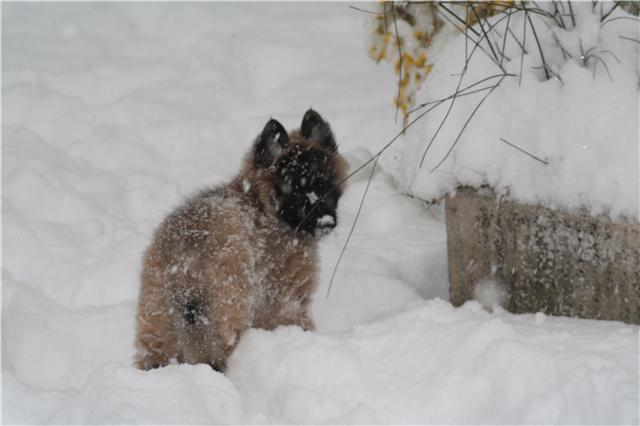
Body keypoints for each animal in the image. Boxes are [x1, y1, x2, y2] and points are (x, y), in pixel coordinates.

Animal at [132, 110, 348, 372]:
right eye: (295, 190)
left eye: (324, 184)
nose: (327, 222)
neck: (259, 203)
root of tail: (188, 257)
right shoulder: (284, 295)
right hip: (234, 304)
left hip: (157, 316)